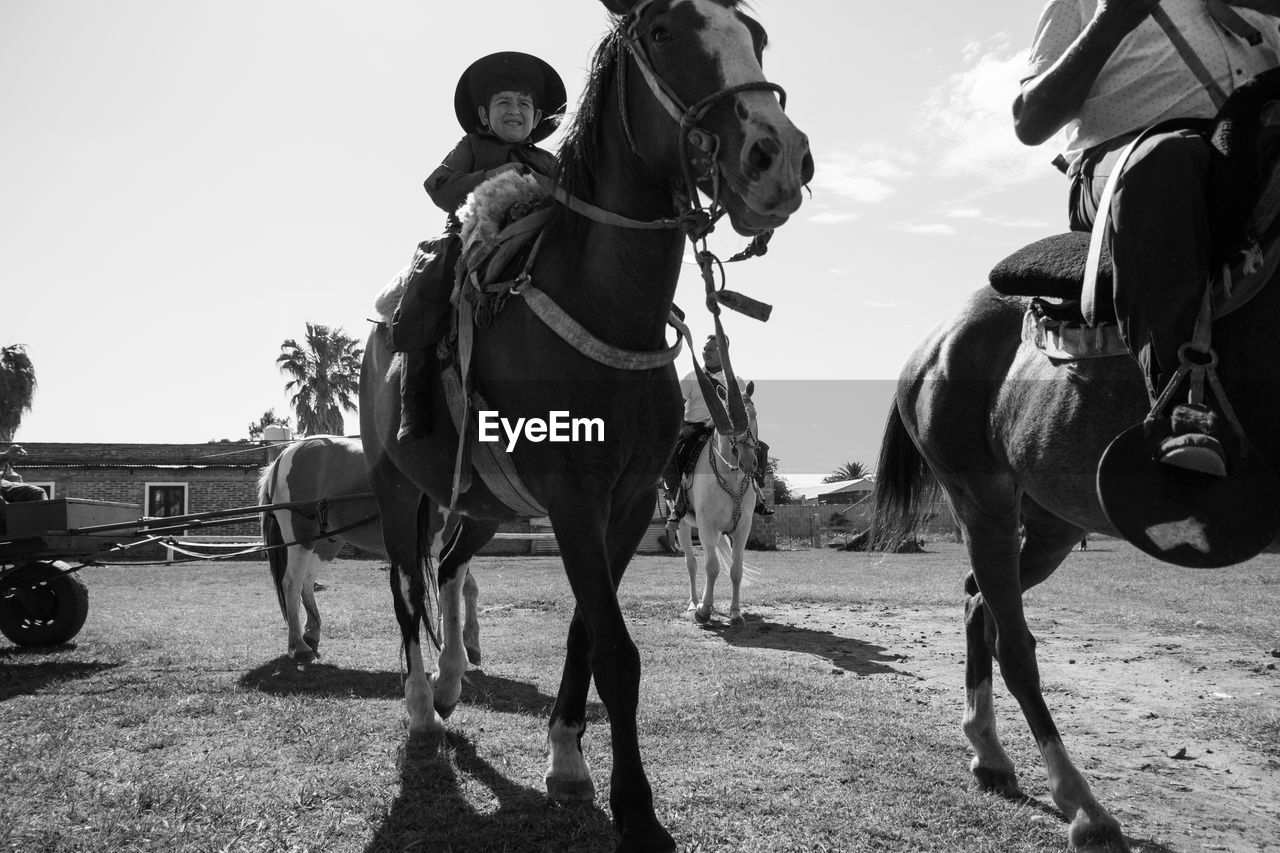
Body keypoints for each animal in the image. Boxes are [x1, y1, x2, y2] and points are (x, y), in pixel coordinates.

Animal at [257, 435, 481, 660]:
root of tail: (285, 455)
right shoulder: (442, 542)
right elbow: (459, 587)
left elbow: (466, 588)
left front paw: (464, 642)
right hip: (302, 538)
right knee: (291, 584)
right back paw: (299, 645)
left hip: (325, 545)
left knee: (307, 581)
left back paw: (311, 632)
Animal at [680, 381, 757, 622]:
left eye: (754, 415)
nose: (748, 462)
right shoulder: (706, 524)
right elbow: (711, 567)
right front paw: (703, 611)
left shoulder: (743, 527)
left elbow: (735, 570)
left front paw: (736, 613)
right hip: (683, 525)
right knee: (692, 563)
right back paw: (694, 603)